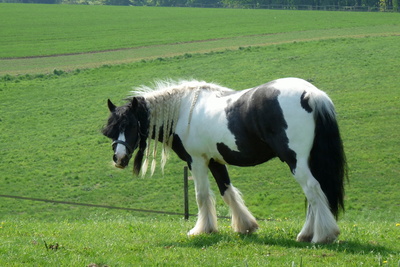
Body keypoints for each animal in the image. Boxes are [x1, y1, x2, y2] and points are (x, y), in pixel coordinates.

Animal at [102, 78, 346, 245]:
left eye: (130, 125)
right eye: (112, 129)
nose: (118, 159)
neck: (182, 111)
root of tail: (310, 94)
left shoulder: (197, 161)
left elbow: (202, 195)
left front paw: (202, 230)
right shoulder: (215, 161)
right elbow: (226, 191)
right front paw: (245, 226)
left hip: (295, 160)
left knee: (313, 189)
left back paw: (323, 235)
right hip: (308, 160)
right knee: (315, 194)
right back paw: (307, 234)